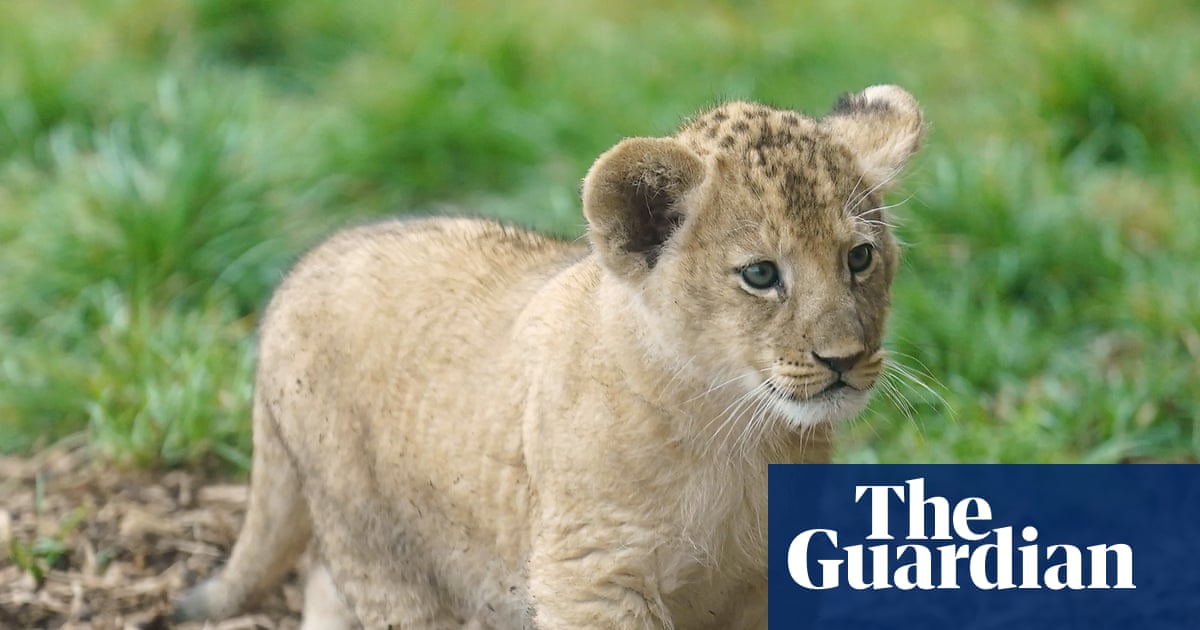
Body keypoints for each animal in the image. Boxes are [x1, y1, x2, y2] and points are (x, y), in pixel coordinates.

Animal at [175, 85, 925, 629]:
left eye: (859, 258)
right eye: (762, 274)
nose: (844, 358)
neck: (734, 434)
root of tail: (295, 278)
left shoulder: (762, 582)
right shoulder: (592, 576)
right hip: (379, 544)